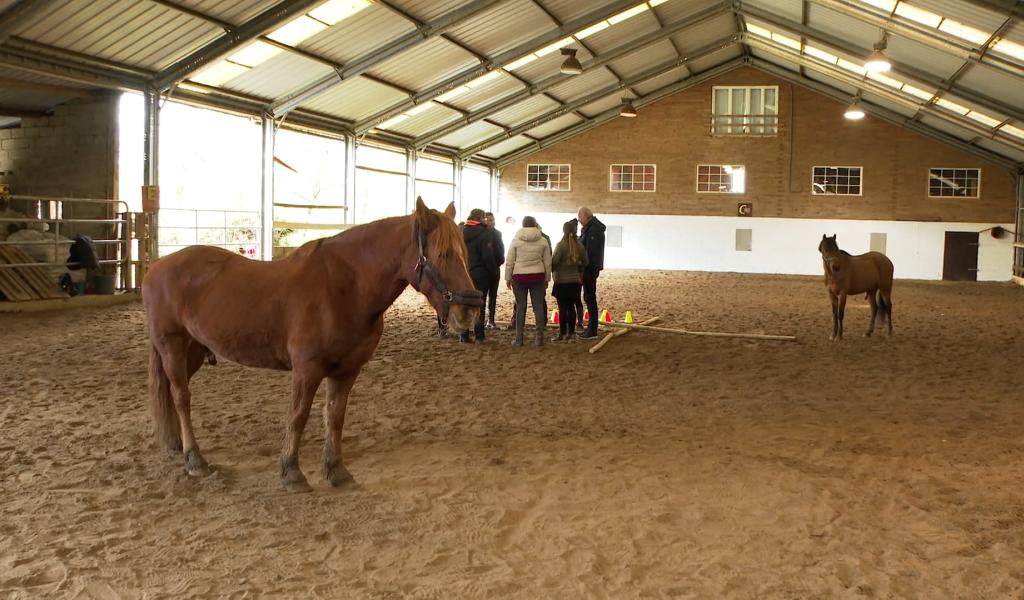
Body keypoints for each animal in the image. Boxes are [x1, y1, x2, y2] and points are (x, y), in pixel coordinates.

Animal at [142, 198, 485, 487]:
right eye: (442, 254)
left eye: (465, 254)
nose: (469, 311)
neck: (344, 287)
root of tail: (155, 267)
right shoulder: (307, 369)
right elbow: (298, 416)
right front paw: (291, 472)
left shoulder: (346, 371)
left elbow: (334, 417)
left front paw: (336, 470)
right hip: (173, 347)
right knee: (181, 397)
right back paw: (194, 460)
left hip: (193, 351)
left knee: (172, 394)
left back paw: (176, 447)